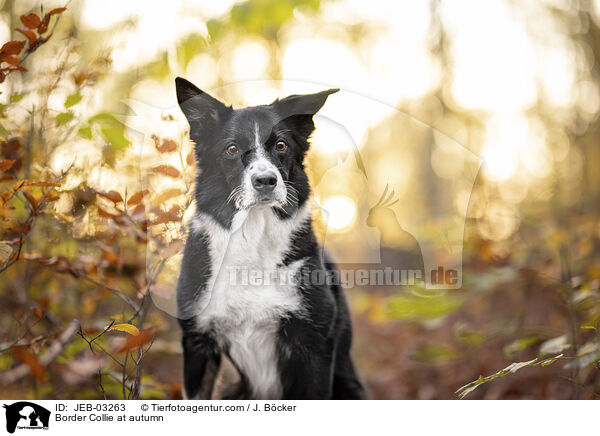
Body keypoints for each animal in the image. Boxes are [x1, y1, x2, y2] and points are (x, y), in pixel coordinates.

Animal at [175, 77, 366, 398]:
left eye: (280, 145)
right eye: (231, 149)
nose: (265, 181)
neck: (254, 236)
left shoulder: (314, 345)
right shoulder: (198, 342)